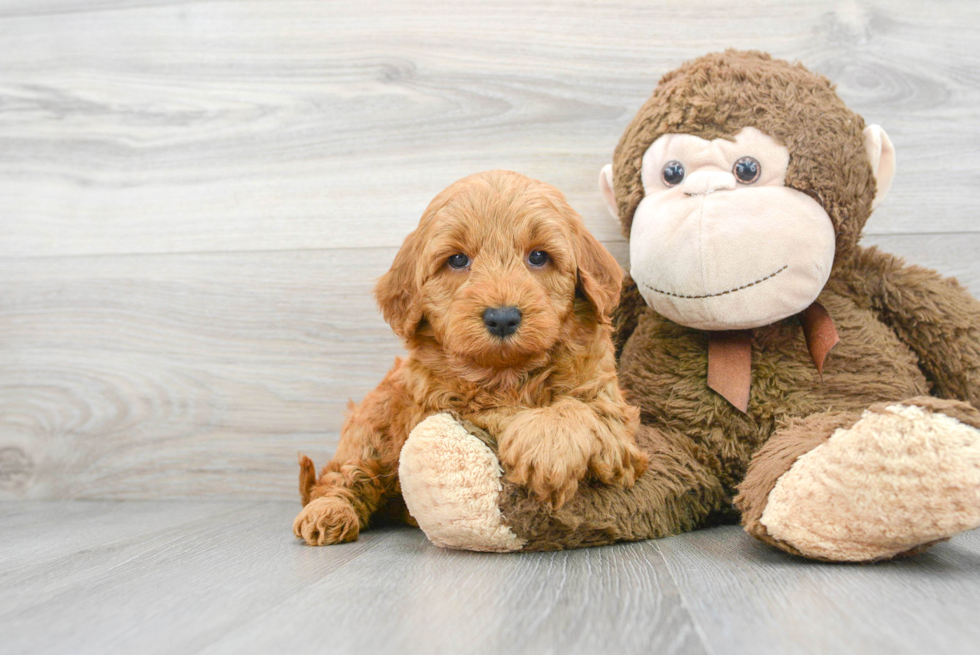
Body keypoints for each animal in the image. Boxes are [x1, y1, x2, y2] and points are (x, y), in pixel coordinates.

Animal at [290, 168, 648, 544]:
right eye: (458, 260)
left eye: (538, 257)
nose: (502, 317)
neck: (508, 375)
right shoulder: (440, 403)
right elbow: (492, 414)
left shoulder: (615, 416)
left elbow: (581, 409)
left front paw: (546, 447)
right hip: (371, 424)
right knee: (341, 475)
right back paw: (327, 512)